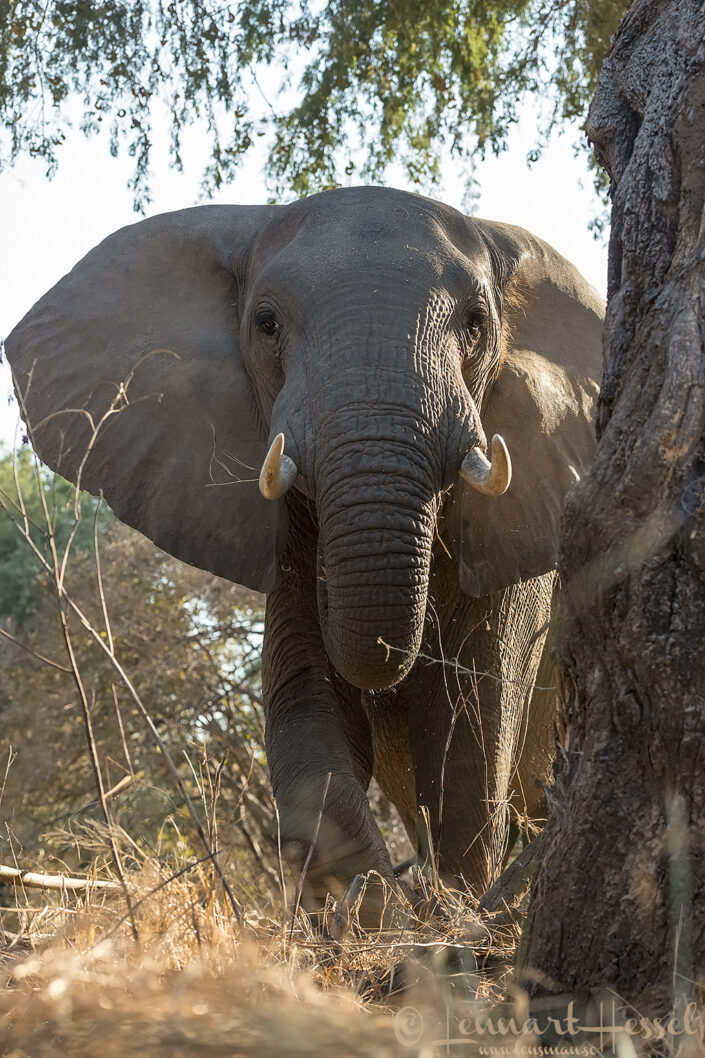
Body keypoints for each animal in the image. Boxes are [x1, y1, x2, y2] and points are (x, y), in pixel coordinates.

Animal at [4, 186, 603, 910]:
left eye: (475, 323)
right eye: (265, 324)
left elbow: (467, 745)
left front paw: (445, 915)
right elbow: (307, 725)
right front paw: (382, 917)